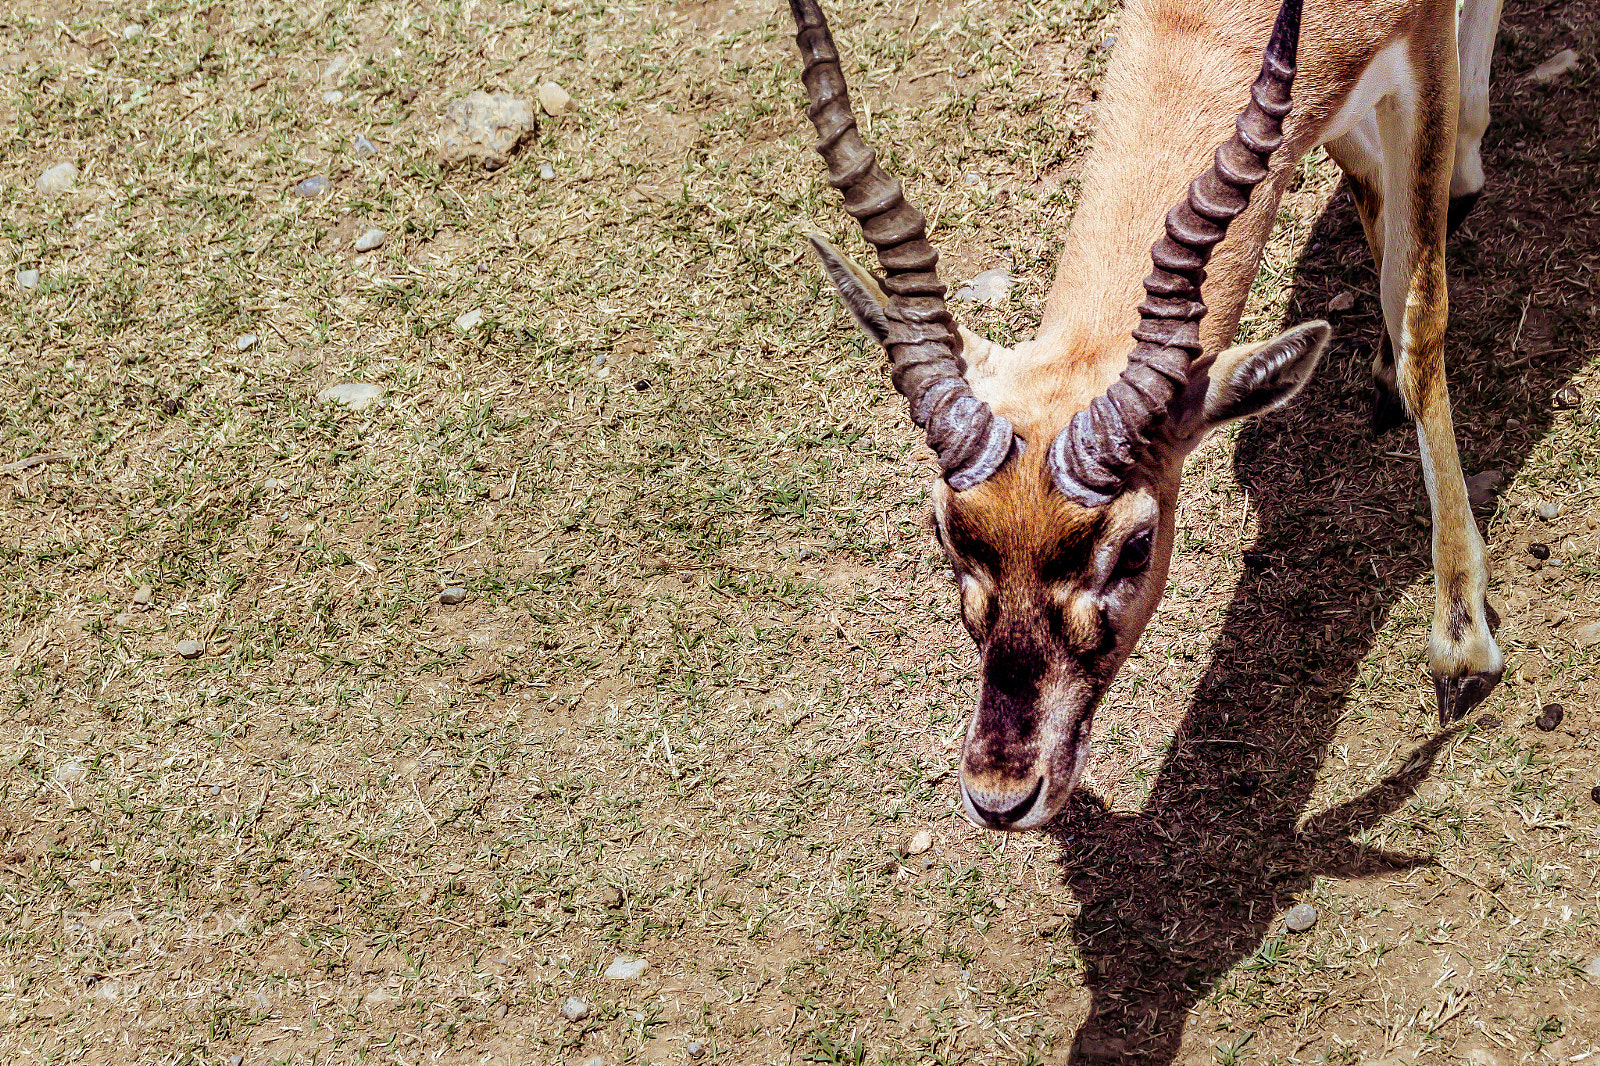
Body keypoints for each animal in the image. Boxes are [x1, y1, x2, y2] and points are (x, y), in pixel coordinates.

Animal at [790, 0, 1506, 830]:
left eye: (1136, 547)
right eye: (946, 535)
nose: (1000, 794)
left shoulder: (1419, 46)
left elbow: (1417, 308)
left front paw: (1462, 647)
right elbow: (1370, 201)